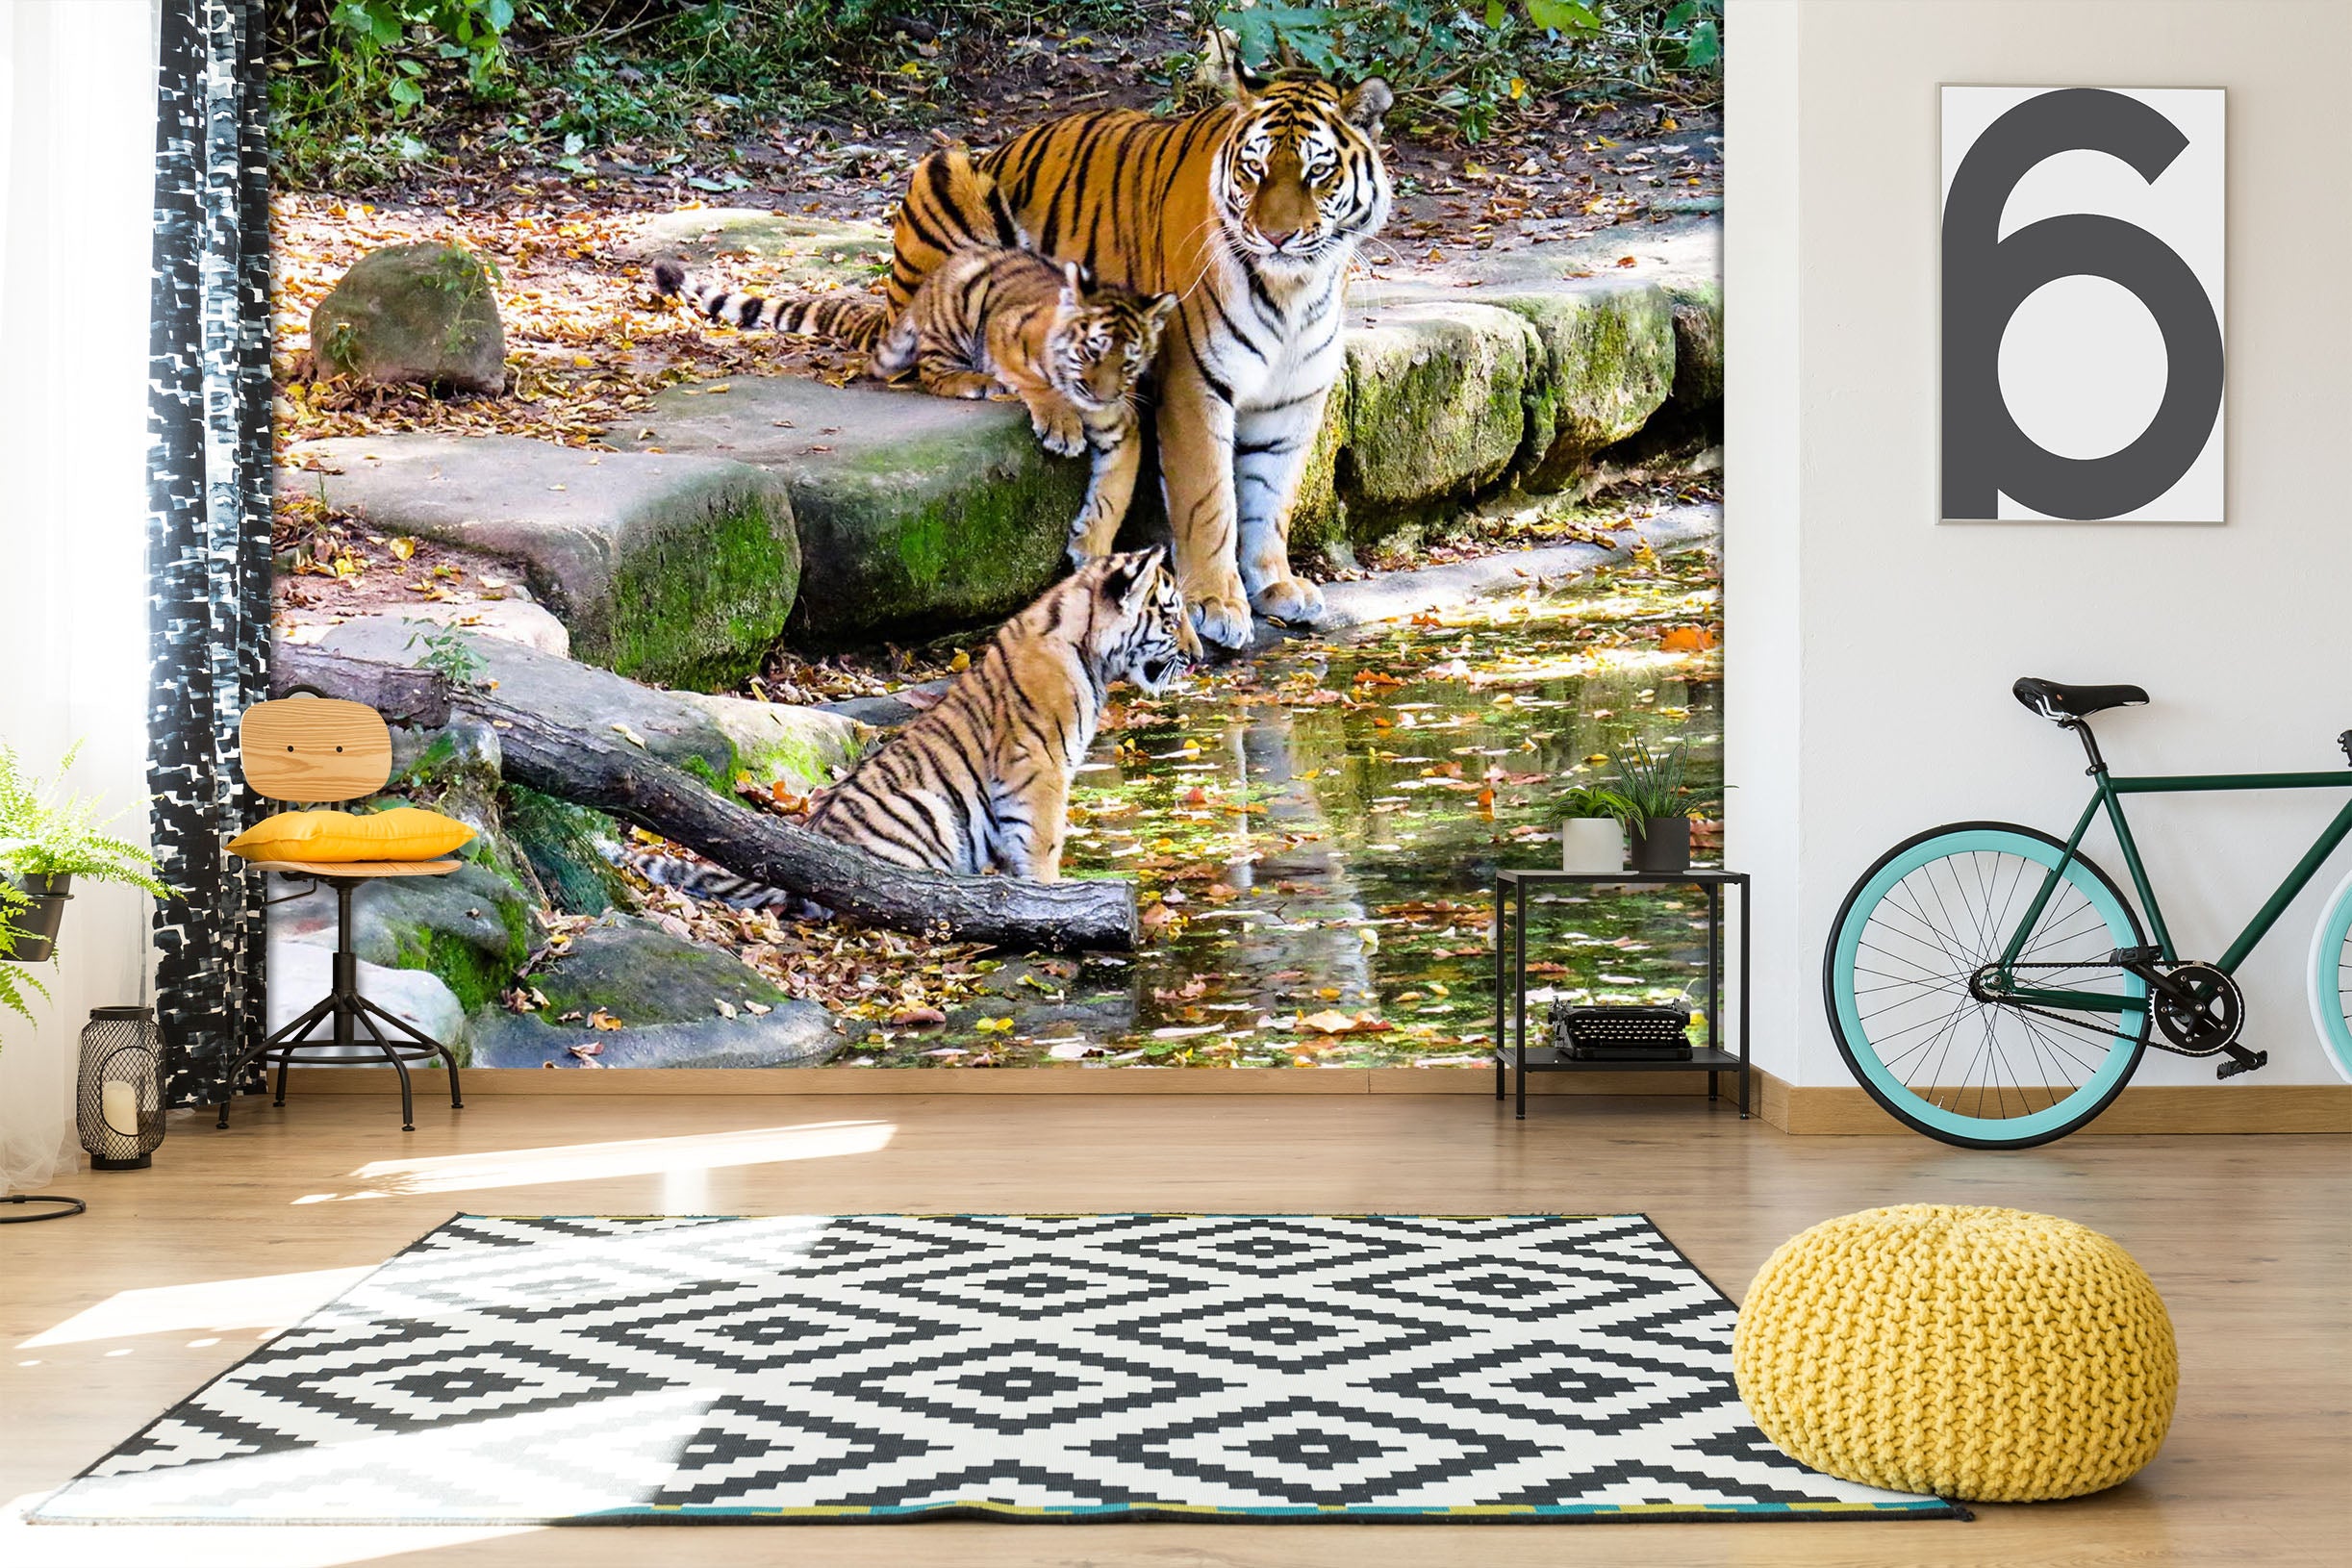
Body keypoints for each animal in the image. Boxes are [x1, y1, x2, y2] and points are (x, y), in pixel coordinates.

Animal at [651, 247, 1176, 564]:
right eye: (1092, 351)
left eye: (1129, 362)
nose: (1102, 395)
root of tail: (924, 290)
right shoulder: (1005, 330)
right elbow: (1037, 382)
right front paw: (1060, 425)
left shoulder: (1124, 427)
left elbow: (1113, 495)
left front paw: (1093, 547)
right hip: (961, 309)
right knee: (932, 372)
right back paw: (979, 381)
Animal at [804, 546, 1200, 882]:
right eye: (1170, 618)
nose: (1198, 656)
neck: (1090, 651)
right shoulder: (1040, 767)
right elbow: (1044, 843)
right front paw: (1050, 889)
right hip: (925, 808)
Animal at [887, 33, 1394, 649]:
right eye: (1254, 169)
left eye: (1318, 172)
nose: (1275, 236)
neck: (1295, 289)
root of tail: (994, 148)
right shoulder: (1195, 382)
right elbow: (1210, 499)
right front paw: (1217, 602)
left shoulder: (1295, 396)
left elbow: (1271, 495)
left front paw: (1276, 584)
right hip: (945, 173)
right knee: (927, 353)